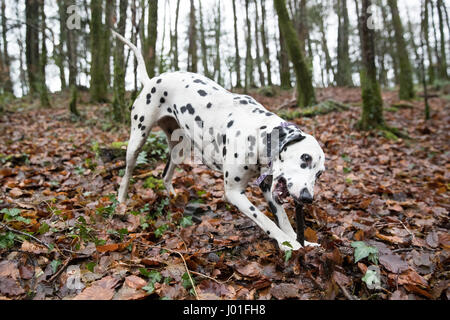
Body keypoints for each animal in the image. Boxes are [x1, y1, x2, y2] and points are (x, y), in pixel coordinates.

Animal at [112, 32, 324, 252]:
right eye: (305, 158)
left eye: (319, 174)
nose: (308, 197)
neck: (255, 131)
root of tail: (151, 80)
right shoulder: (234, 193)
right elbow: (266, 221)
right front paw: (288, 244)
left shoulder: (267, 188)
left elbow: (282, 218)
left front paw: (300, 241)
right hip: (137, 140)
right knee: (126, 174)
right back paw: (121, 202)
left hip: (180, 149)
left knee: (165, 175)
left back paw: (175, 200)